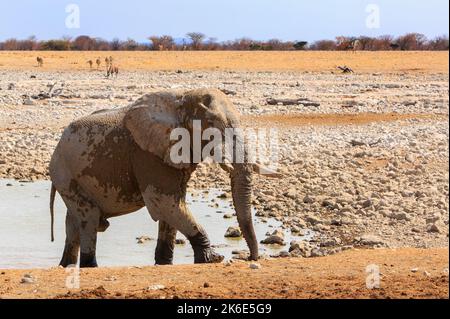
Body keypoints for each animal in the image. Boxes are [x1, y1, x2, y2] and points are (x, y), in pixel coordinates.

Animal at [49, 89, 274, 268]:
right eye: (212, 126)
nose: (250, 259)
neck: (184, 97)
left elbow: (173, 206)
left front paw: (164, 264)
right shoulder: (148, 154)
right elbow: (164, 202)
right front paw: (213, 259)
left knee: (74, 223)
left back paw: (66, 265)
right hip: (65, 174)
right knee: (89, 219)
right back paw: (90, 267)